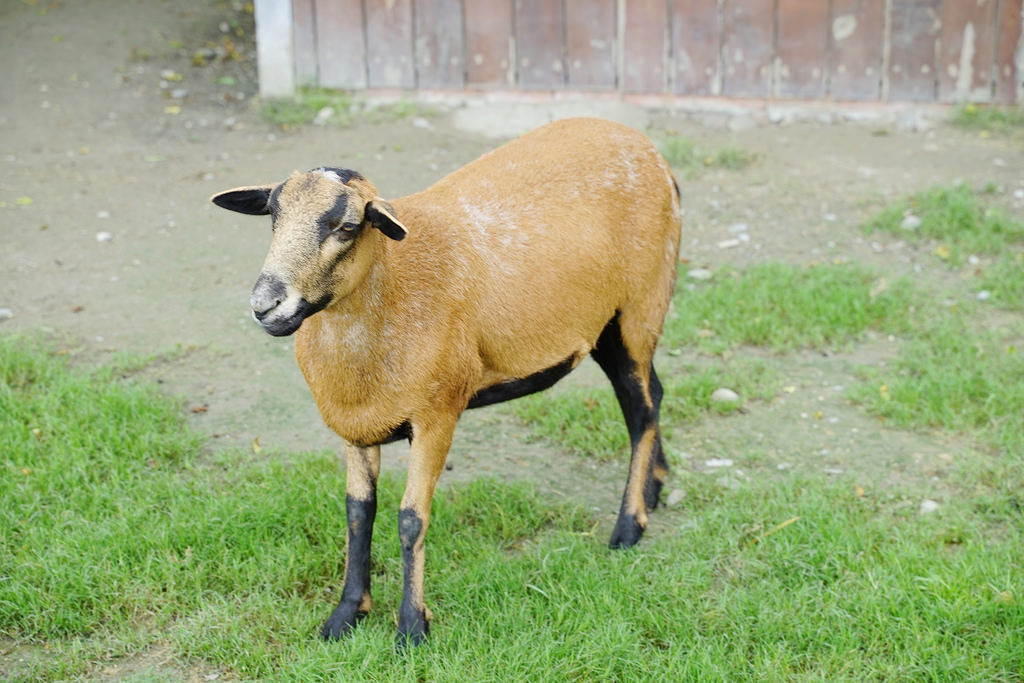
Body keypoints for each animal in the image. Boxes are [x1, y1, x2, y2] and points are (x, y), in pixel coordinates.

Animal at [211, 117, 684, 647]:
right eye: (273, 215)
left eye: (347, 226)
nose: (266, 305)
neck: (393, 289)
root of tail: (646, 149)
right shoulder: (354, 426)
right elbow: (358, 513)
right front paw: (346, 614)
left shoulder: (437, 415)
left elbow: (411, 519)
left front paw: (412, 628)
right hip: (608, 327)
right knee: (652, 394)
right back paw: (653, 488)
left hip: (641, 305)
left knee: (641, 410)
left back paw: (629, 527)